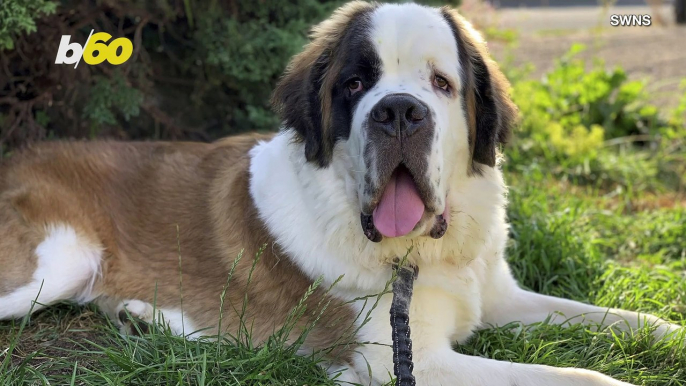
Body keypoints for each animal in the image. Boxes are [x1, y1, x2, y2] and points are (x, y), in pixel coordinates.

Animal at [0, 1, 684, 384]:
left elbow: (621, 319)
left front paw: (669, 332)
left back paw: (139, 318)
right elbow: (580, 375)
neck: (422, 252)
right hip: (57, 263)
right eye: (356, 84)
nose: (400, 112)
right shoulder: (408, 362)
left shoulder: (498, 299)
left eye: (441, 83)